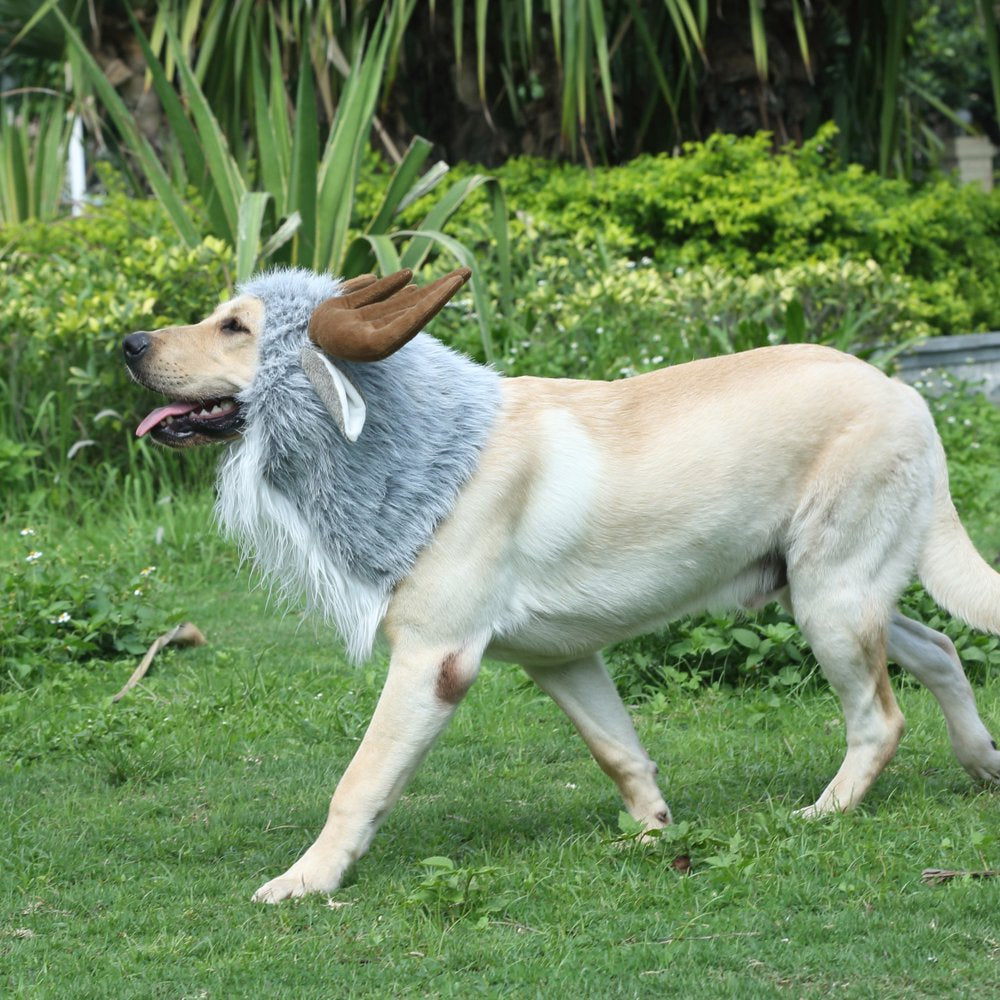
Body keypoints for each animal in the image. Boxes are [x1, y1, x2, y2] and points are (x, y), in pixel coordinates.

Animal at [125, 270, 1000, 904]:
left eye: (237, 329)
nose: (129, 343)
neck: (429, 450)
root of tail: (905, 393)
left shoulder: (434, 662)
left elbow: (359, 780)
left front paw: (308, 879)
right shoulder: (563, 661)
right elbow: (621, 753)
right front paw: (655, 836)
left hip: (831, 601)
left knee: (881, 718)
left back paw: (825, 811)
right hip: (827, 592)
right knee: (942, 647)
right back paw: (983, 764)